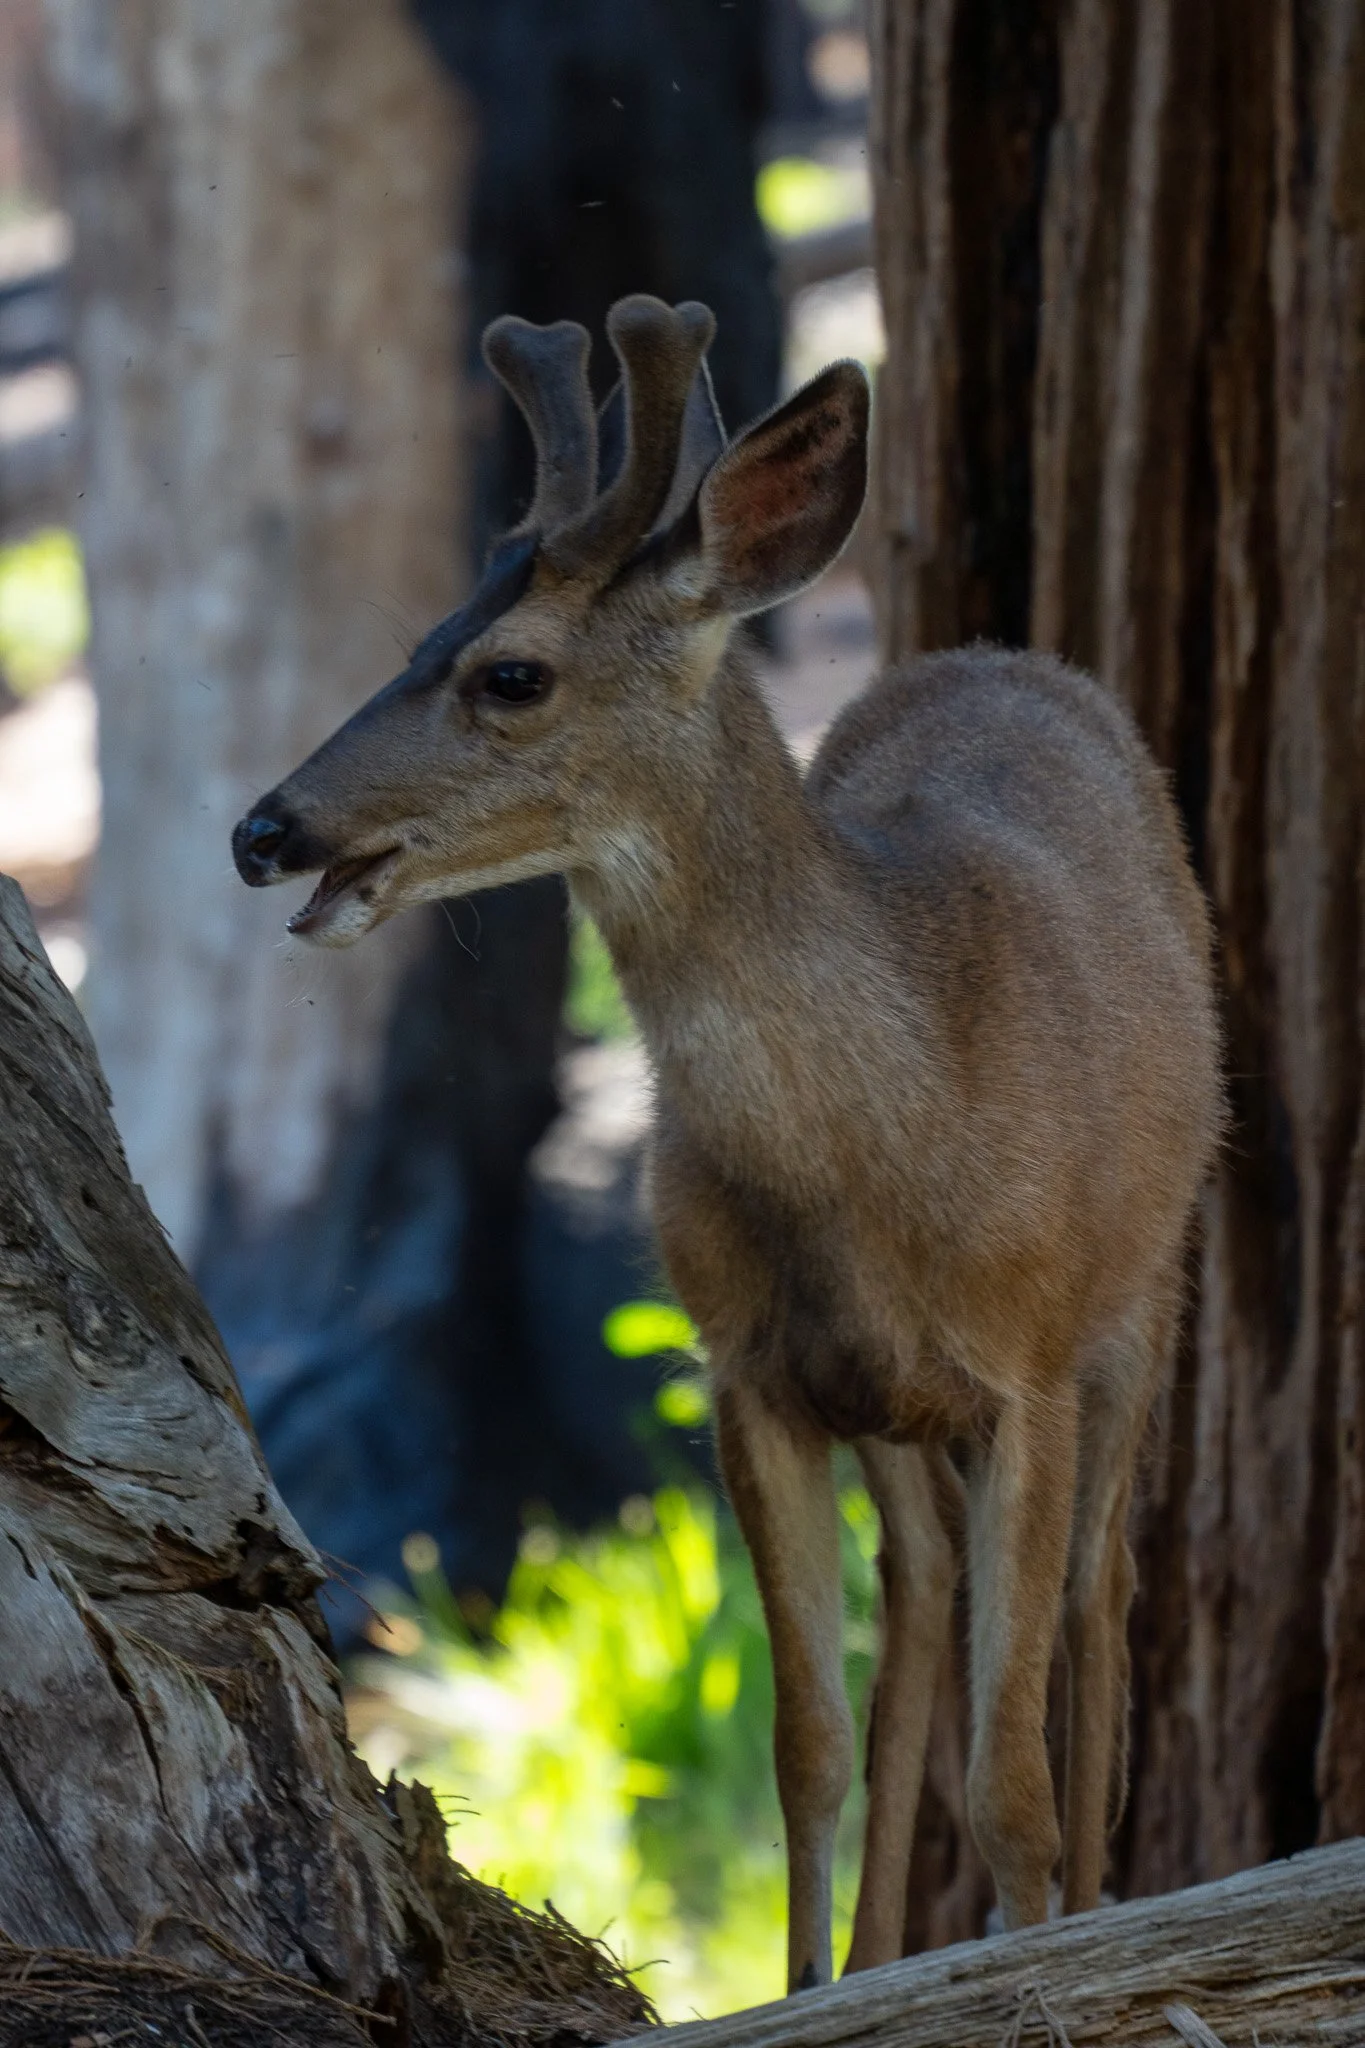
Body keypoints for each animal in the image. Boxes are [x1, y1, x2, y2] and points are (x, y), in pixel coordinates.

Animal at [233, 295, 1221, 1991]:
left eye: (508, 673)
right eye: (412, 643)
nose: (264, 829)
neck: (883, 1139)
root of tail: (1007, 657)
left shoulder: (1024, 1361)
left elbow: (1009, 1777)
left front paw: (1043, 1964)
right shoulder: (748, 1368)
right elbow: (808, 1741)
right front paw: (813, 1984)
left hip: (1138, 1301)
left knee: (1100, 1601)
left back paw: (1103, 1896)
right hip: (894, 1411)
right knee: (922, 1598)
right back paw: (891, 1946)